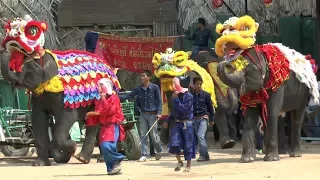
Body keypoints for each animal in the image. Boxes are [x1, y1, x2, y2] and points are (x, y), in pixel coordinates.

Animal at [0, 15, 120, 166]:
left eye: (28, 68)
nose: (5, 46)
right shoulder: (39, 98)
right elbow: (38, 120)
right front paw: (39, 164)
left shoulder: (64, 97)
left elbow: (65, 120)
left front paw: (69, 148)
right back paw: (93, 159)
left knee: (95, 123)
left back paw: (85, 158)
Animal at [214, 15, 318, 162]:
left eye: (244, 65)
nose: (226, 62)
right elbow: (250, 115)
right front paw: (247, 159)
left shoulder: (277, 85)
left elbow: (271, 111)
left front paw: (271, 159)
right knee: (281, 117)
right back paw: (282, 153)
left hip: (304, 92)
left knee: (296, 116)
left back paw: (294, 154)